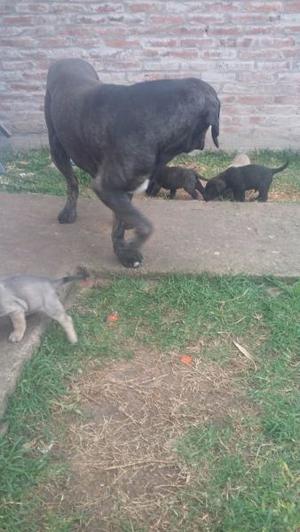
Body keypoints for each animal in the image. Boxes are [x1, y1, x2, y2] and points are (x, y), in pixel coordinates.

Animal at [44, 58, 219, 268]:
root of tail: (63, 60)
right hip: (57, 148)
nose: (202, 142)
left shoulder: (124, 186)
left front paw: (124, 242)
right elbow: (145, 227)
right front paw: (128, 251)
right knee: (72, 182)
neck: (157, 117)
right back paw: (69, 212)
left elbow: (122, 218)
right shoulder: (107, 186)